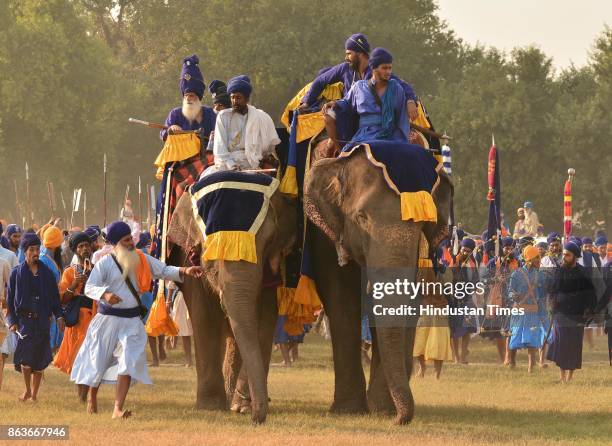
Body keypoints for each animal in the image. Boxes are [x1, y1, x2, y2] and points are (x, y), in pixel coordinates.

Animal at [166, 179, 298, 424]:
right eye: (214, 266)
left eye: (268, 244)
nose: (257, 420)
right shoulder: (187, 256)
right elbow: (203, 315)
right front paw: (210, 406)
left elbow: (262, 319)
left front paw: (243, 407)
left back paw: (235, 401)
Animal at [304, 147, 452, 426]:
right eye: (361, 218)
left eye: (422, 223)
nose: (398, 421)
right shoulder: (326, 235)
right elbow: (342, 299)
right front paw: (349, 411)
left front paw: (383, 411)